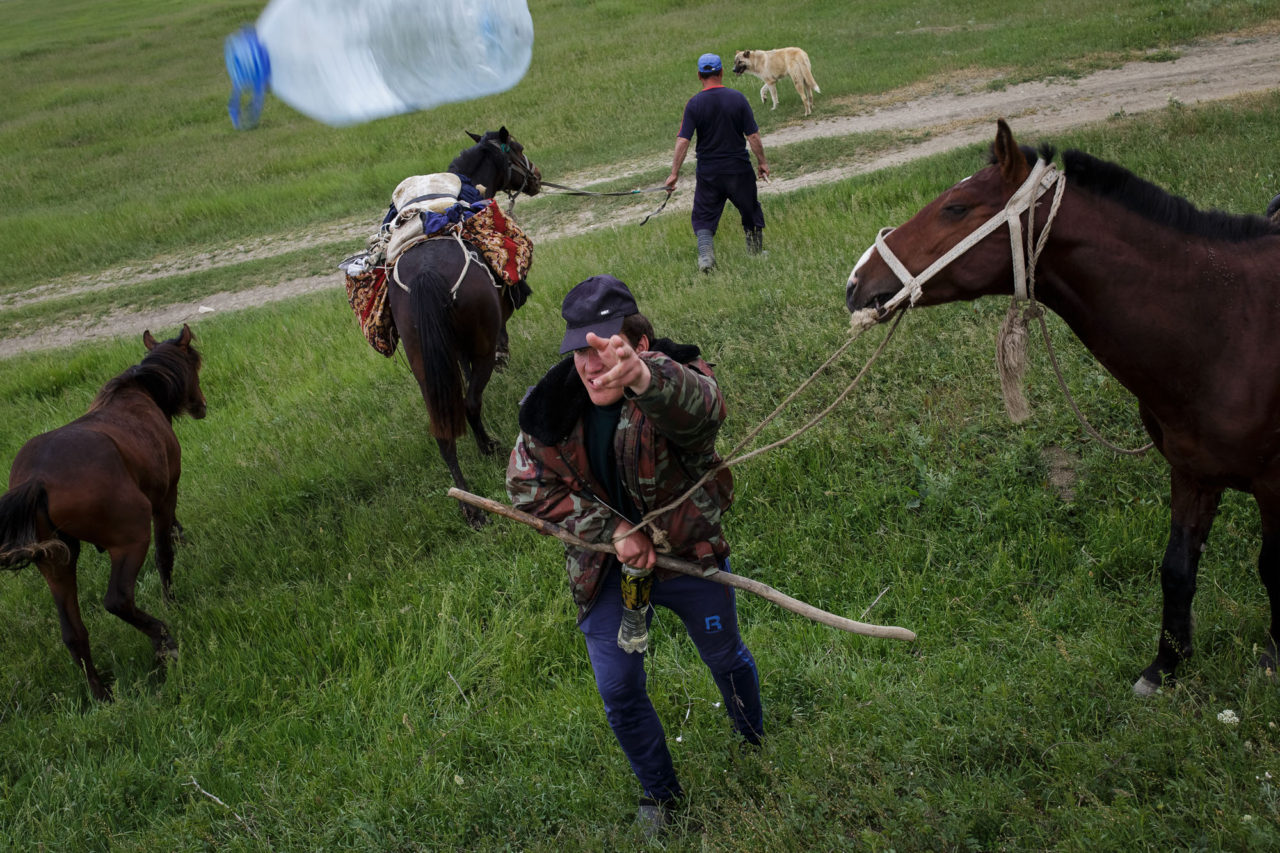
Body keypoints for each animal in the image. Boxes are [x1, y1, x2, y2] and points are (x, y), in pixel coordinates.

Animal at [0, 325, 204, 696]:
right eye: (195, 363)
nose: (200, 406)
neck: (137, 394)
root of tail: (37, 480)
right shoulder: (165, 496)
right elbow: (165, 552)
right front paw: (171, 600)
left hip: (56, 564)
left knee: (73, 633)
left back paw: (101, 694)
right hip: (129, 540)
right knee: (117, 600)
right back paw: (164, 641)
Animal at [381, 126, 537, 525]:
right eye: (518, 148)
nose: (536, 176)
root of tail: (427, 273)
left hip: (424, 365)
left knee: (443, 430)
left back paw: (469, 505)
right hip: (477, 346)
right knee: (470, 403)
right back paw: (487, 449)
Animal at [844, 119, 1280, 691]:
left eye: (956, 208)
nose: (855, 281)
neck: (1229, 325)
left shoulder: (1274, 482)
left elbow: (1274, 568)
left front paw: (1273, 656)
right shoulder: (1193, 472)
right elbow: (1177, 569)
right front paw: (1165, 667)